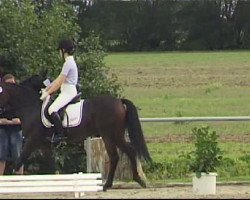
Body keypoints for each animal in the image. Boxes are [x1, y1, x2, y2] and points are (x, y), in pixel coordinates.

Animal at [0, 79, 152, 190]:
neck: (30, 108)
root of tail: (119, 101)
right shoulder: (44, 144)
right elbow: (51, 164)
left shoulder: (32, 141)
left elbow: (19, 161)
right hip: (115, 135)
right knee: (128, 152)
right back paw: (134, 180)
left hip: (109, 135)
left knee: (117, 155)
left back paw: (111, 184)